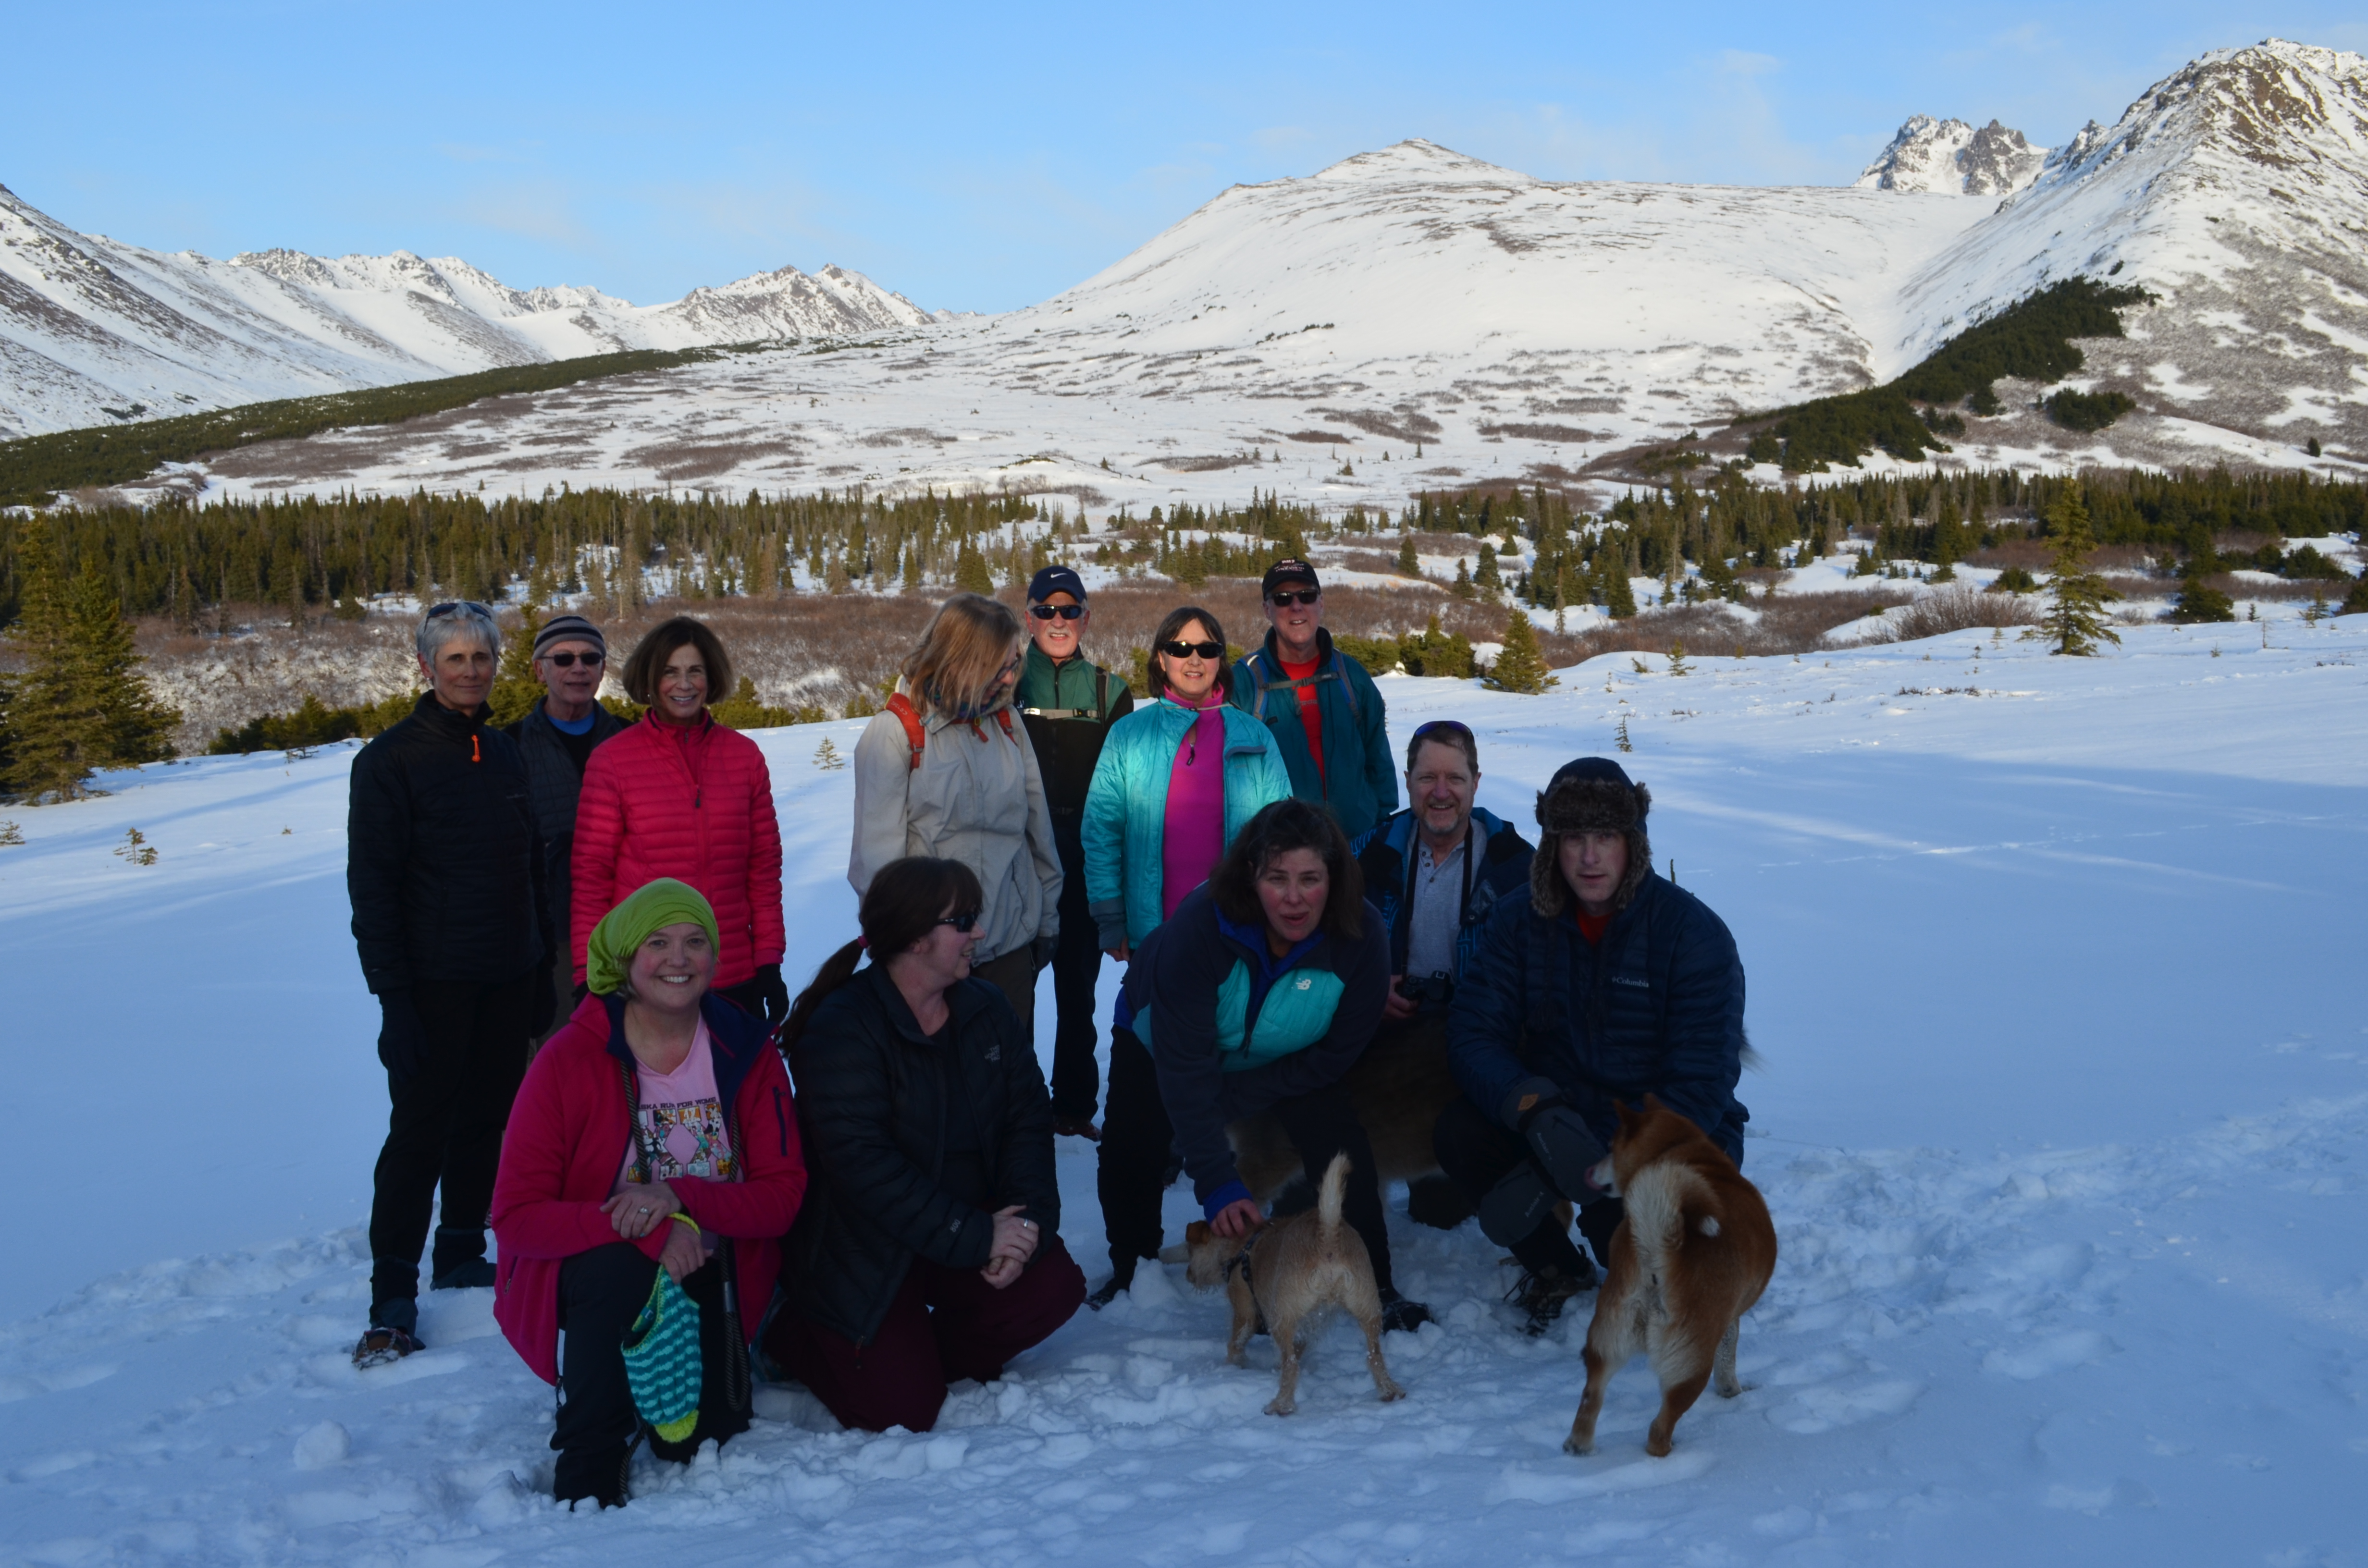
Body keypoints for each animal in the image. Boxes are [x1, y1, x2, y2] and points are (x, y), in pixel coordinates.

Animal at [1181, 1153, 1407, 1417]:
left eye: (1189, 1251)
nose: (1187, 1275)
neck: (1244, 1242)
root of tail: (1327, 1235)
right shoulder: (1308, 1324)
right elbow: (1296, 1350)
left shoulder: (1246, 1311)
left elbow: (1236, 1342)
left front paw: (1234, 1365)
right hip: (1369, 1310)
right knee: (1375, 1357)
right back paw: (1390, 1391)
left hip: (1281, 1319)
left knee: (1291, 1367)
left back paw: (1281, 1405)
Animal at [1563, 1096, 1777, 1459]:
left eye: (1610, 1146)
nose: (1589, 1171)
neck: (1682, 1149)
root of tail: (1660, 1246)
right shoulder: (1729, 1319)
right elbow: (1728, 1360)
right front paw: (1733, 1393)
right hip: (1690, 1362)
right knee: (1659, 1427)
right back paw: (1671, 1452)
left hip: (1608, 1335)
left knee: (1592, 1395)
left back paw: (1579, 1447)